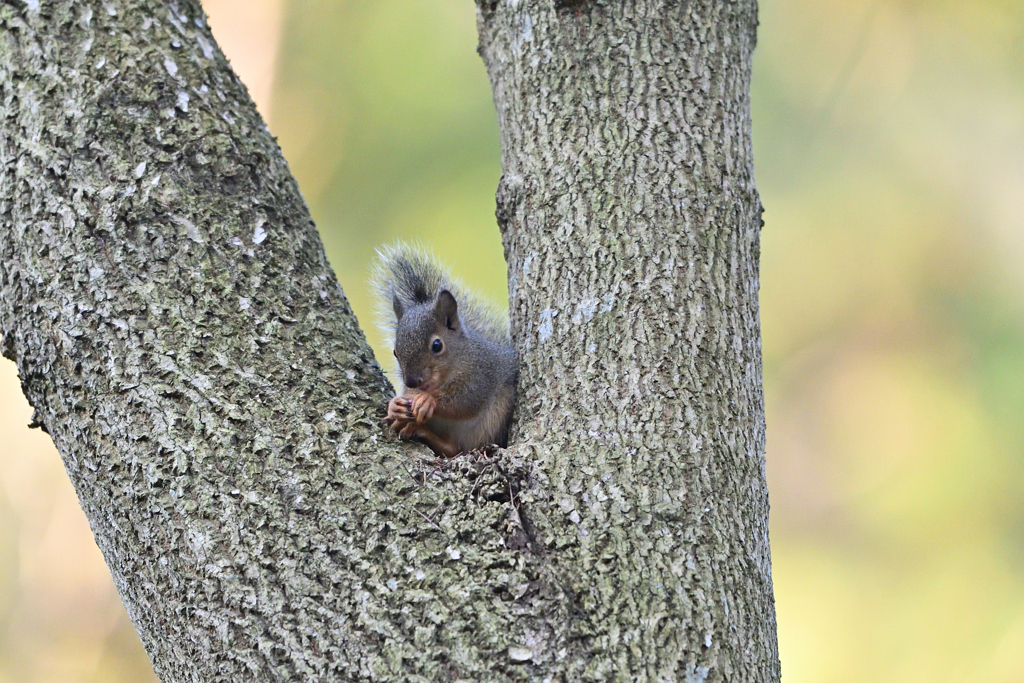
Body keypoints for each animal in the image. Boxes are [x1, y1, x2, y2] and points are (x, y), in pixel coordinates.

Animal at [368, 242, 516, 456]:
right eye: (395, 352)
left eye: (437, 346)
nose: (412, 381)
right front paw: (394, 405)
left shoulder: (482, 375)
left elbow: (465, 402)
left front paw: (428, 401)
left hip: (492, 423)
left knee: (458, 449)